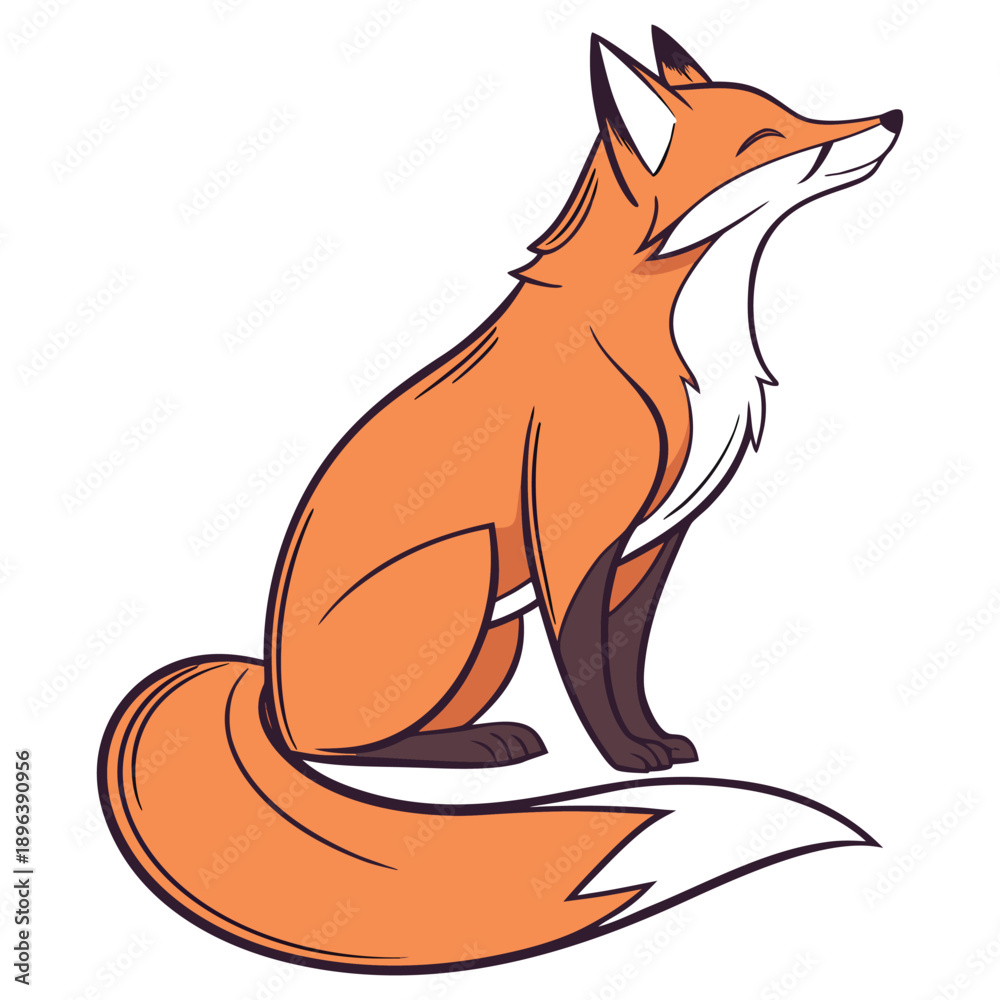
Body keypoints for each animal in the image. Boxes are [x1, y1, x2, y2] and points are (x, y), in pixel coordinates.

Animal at [99, 28, 901, 974]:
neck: (681, 341)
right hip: (469, 562)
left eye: (793, 111)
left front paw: (654, 744)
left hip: (497, 633)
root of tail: (266, 684)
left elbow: (626, 659)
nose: (894, 116)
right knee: (332, 750)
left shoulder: (652, 544)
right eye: (767, 139)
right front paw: (624, 759)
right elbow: (588, 667)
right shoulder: (574, 535)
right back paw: (470, 749)